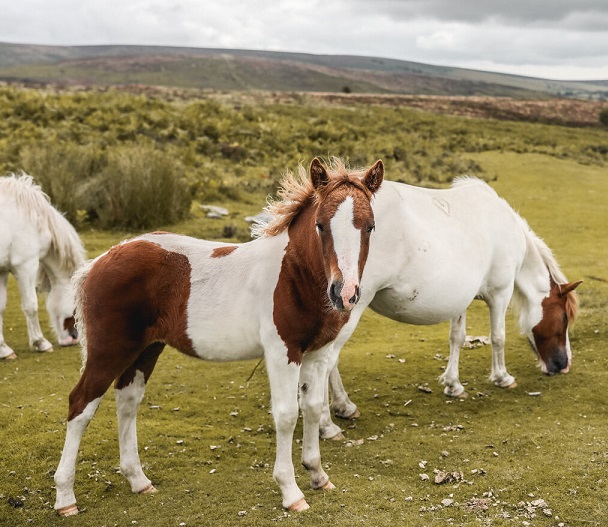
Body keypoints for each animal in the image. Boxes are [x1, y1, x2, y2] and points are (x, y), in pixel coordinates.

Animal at [0, 173, 85, 358]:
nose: (73, 339)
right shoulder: (26, 266)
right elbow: (31, 306)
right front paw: (41, 343)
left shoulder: (2, 271)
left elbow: (0, 307)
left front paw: (3, 349)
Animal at [53, 158, 384, 516]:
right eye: (321, 225)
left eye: (370, 227)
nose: (345, 294)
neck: (295, 275)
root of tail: (100, 261)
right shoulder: (282, 352)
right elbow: (286, 415)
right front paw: (291, 492)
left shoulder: (318, 353)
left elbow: (311, 407)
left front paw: (318, 475)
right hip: (109, 350)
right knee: (80, 405)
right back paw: (65, 498)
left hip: (146, 349)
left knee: (127, 402)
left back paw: (139, 481)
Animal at [318, 175, 580, 440]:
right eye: (564, 318)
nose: (564, 365)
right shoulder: (501, 293)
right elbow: (498, 337)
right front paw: (502, 378)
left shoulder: (460, 299)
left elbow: (457, 337)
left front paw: (453, 385)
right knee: (325, 362)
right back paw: (328, 424)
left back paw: (344, 407)